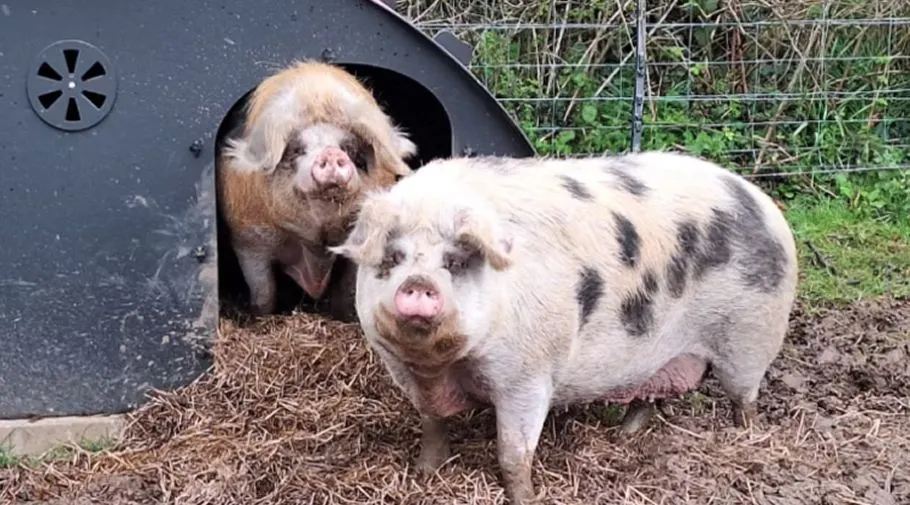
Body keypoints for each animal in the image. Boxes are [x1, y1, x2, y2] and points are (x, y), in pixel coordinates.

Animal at [216, 60, 418, 316]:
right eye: (297, 150)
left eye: (349, 149)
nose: (331, 154)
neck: (316, 236)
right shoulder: (249, 238)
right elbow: (263, 289)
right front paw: (260, 315)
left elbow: (348, 287)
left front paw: (345, 315)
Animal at [329, 151, 799, 504]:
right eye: (394, 258)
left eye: (456, 262)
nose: (418, 283)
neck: (443, 366)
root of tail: (757, 197)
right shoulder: (403, 370)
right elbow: (431, 423)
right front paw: (425, 472)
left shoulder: (529, 373)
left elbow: (513, 454)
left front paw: (525, 498)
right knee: (652, 395)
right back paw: (625, 434)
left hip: (751, 336)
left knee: (744, 397)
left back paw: (747, 434)